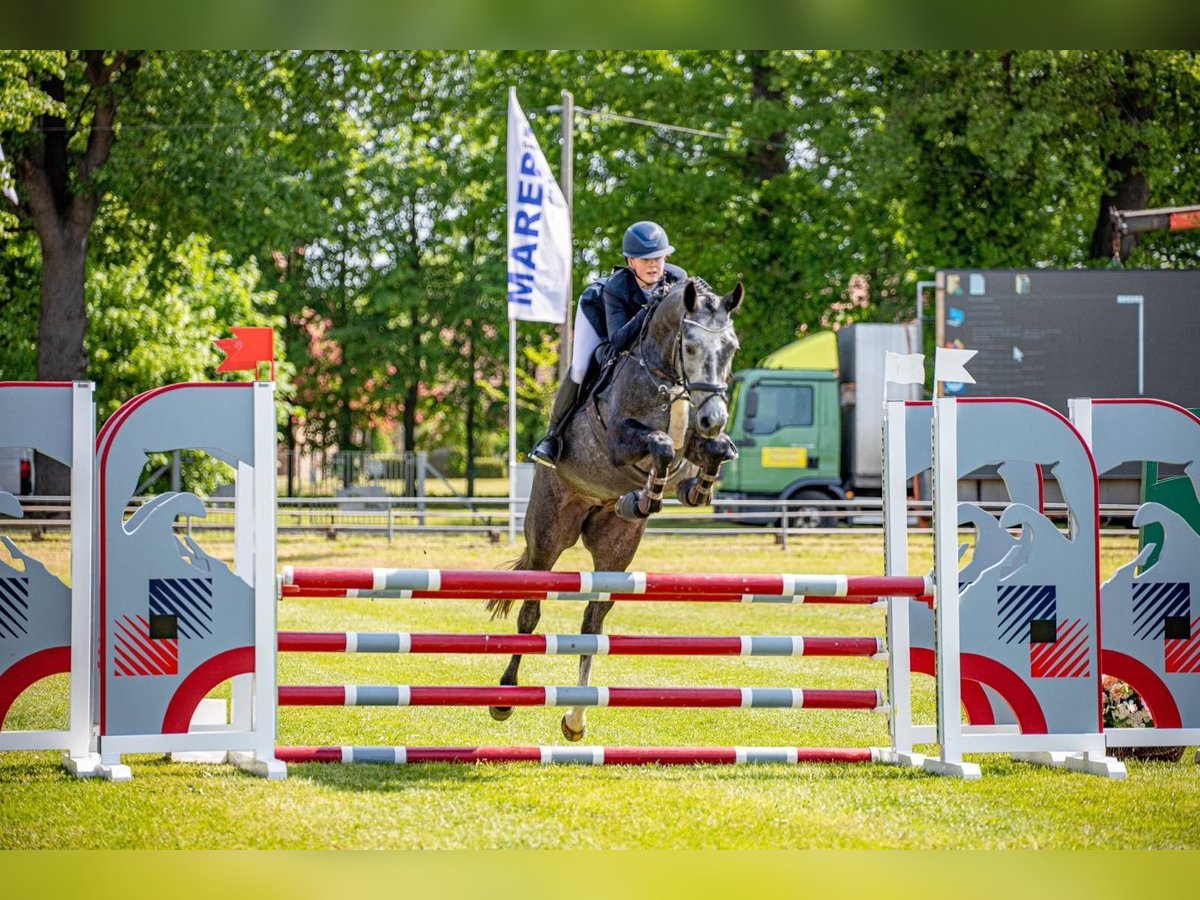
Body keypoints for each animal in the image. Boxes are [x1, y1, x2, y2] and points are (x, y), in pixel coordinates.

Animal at [487, 278, 739, 744]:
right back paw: (504, 698)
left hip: (616, 547)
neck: (668, 379)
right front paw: (647, 496)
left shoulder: (697, 444)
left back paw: (575, 718)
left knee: (593, 621)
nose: (714, 416)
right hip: (549, 534)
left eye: (731, 346)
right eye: (690, 346)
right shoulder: (621, 442)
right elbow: (660, 445)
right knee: (531, 613)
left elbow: (711, 452)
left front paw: (691, 488)